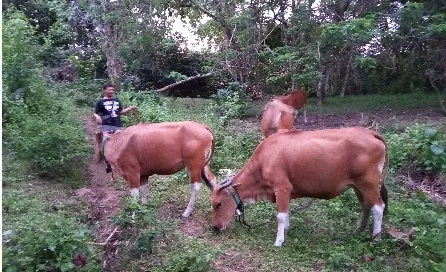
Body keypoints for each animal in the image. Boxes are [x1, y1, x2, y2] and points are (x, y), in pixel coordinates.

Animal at [211, 127, 388, 246]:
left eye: (218, 204)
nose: (215, 227)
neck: (265, 159)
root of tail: (369, 133)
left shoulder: (282, 188)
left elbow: (281, 215)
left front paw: (279, 240)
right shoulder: (286, 192)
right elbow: (286, 212)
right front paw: (286, 230)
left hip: (369, 183)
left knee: (378, 207)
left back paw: (376, 239)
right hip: (358, 185)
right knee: (366, 205)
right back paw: (359, 230)